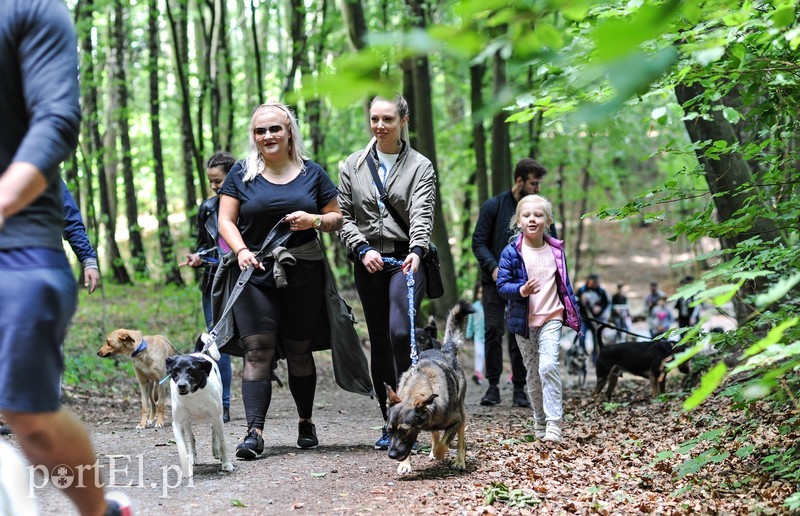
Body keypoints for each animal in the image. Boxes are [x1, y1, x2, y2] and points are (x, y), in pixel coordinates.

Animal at [384, 300, 472, 474]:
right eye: (389, 430)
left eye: (404, 430)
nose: (391, 455)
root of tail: (445, 350)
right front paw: (405, 464)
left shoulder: (456, 421)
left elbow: (442, 446)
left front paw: (439, 454)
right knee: (435, 433)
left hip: (462, 411)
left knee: (460, 439)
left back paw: (459, 461)